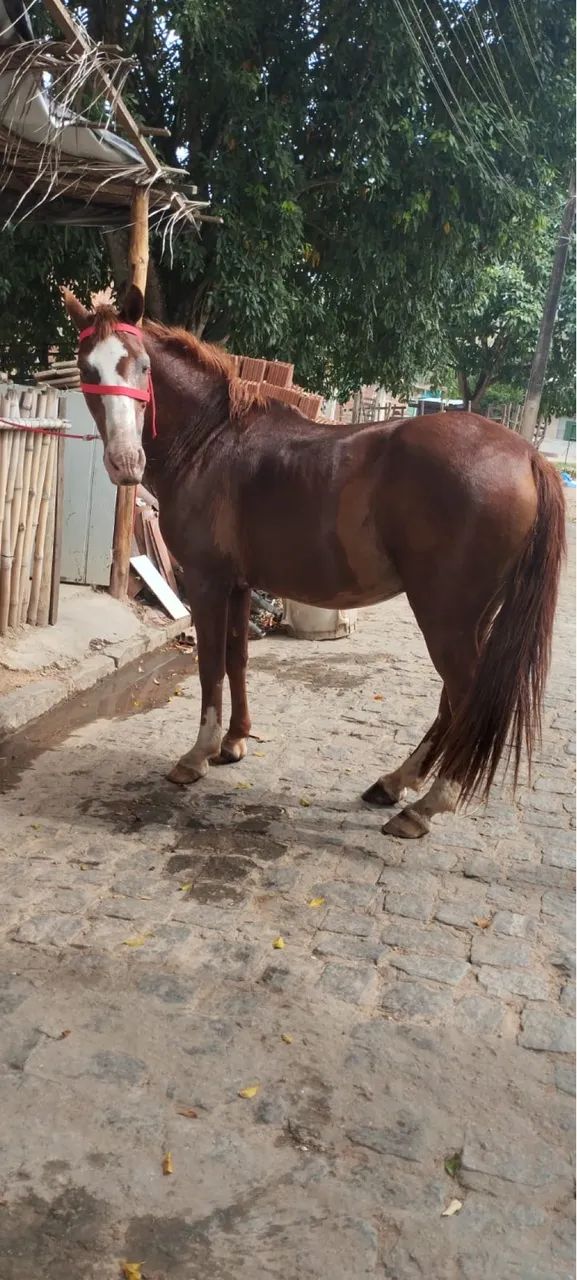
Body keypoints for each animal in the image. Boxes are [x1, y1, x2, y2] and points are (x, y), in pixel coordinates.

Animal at [62, 284, 566, 839]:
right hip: (471, 618)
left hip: (446, 616)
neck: (212, 440)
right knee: (452, 704)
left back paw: (426, 806)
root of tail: (528, 456)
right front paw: (234, 742)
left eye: (143, 366)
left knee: (469, 699)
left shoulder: (207, 581)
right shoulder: (239, 584)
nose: (126, 464)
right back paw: (394, 783)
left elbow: (210, 664)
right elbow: (237, 658)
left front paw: (197, 755)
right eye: (87, 368)